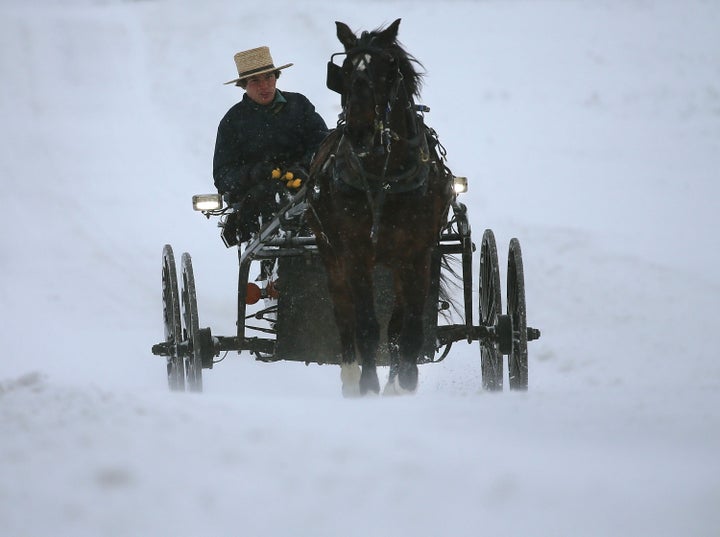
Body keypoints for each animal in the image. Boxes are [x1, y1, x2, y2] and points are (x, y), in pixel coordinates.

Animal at [306, 19, 452, 394]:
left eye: (387, 71)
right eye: (344, 71)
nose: (358, 131)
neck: (385, 176)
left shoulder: (418, 253)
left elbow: (410, 326)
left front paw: (404, 383)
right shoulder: (356, 252)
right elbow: (367, 325)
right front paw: (369, 386)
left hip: (398, 263)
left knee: (398, 322)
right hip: (331, 252)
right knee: (344, 314)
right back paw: (350, 378)